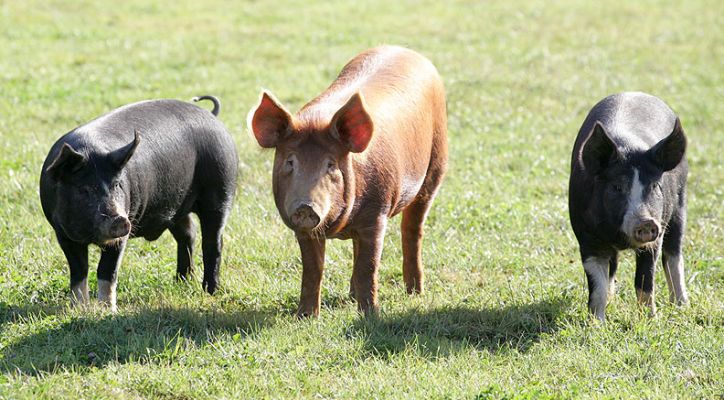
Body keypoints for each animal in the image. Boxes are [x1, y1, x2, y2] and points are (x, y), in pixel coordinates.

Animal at [39, 95, 238, 311]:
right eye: (84, 189)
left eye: (117, 184)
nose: (119, 219)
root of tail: (212, 116)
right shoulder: (62, 233)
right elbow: (78, 271)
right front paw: (79, 309)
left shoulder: (122, 233)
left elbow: (107, 270)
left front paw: (108, 311)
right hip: (177, 208)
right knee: (188, 234)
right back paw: (181, 282)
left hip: (221, 188)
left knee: (213, 242)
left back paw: (210, 291)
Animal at [248, 45, 448, 317]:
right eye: (290, 162)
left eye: (331, 164)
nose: (305, 206)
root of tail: (407, 51)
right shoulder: (305, 231)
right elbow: (313, 270)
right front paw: (305, 317)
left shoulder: (377, 214)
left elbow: (369, 266)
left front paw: (370, 316)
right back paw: (352, 295)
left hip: (435, 166)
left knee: (413, 229)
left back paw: (414, 292)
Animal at [569, 92, 689, 321]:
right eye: (617, 187)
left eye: (654, 185)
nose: (646, 221)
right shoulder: (587, 238)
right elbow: (597, 286)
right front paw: (597, 323)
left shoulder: (654, 239)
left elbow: (645, 282)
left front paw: (650, 320)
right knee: (613, 266)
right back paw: (612, 299)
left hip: (679, 207)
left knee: (674, 256)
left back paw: (681, 306)